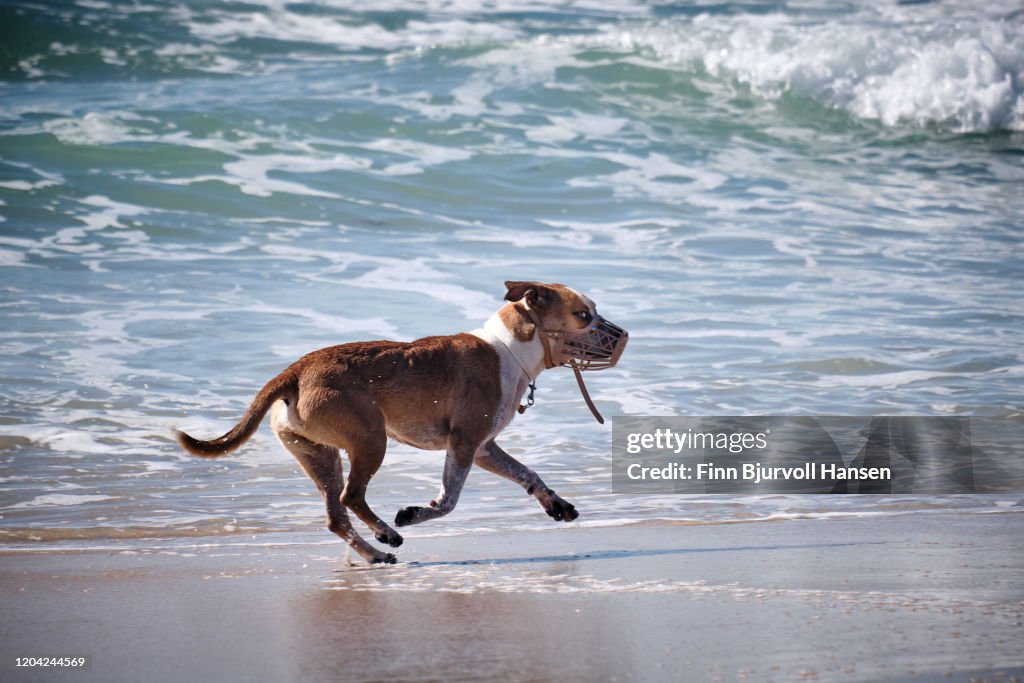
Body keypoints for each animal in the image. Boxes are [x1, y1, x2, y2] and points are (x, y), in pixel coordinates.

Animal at [172, 280, 626, 565]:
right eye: (584, 315)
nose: (622, 336)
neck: (510, 348)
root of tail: (295, 371)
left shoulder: (483, 448)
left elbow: (527, 472)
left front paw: (555, 503)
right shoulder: (464, 444)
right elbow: (448, 501)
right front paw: (414, 512)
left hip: (319, 453)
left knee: (336, 513)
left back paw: (376, 553)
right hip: (371, 439)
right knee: (351, 497)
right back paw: (387, 533)